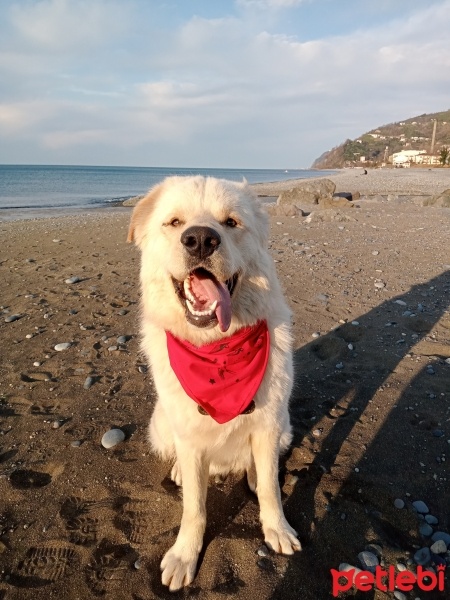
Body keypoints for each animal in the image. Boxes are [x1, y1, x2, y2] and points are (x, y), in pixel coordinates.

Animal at [128, 176, 300, 592]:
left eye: (231, 222)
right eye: (175, 222)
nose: (201, 240)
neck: (217, 350)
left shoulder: (268, 425)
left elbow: (271, 489)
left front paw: (277, 528)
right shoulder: (190, 438)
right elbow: (194, 508)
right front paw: (184, 555)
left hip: (284, 424)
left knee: (260, 467)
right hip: (162, 423)